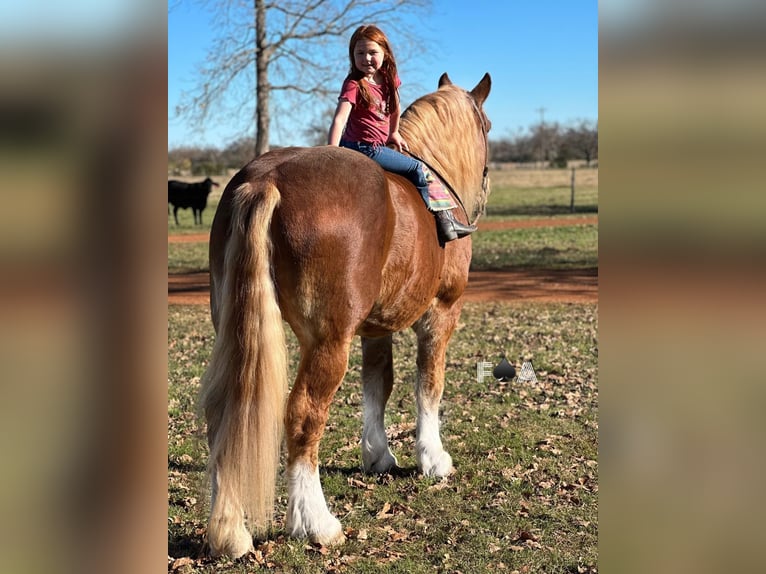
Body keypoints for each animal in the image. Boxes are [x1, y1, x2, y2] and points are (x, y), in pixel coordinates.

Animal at [201, 72, 496, 560]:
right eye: (487, 125)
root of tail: (266, 179)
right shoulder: (441, 313)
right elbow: (428, 384)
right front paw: (432, 458)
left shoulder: (375, 328)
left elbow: (378, 383)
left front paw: (378, 455)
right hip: (328, 342)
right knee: (303, 416)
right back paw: (316, 523)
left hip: (234, 332)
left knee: (223, 412)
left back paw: (229, 531)